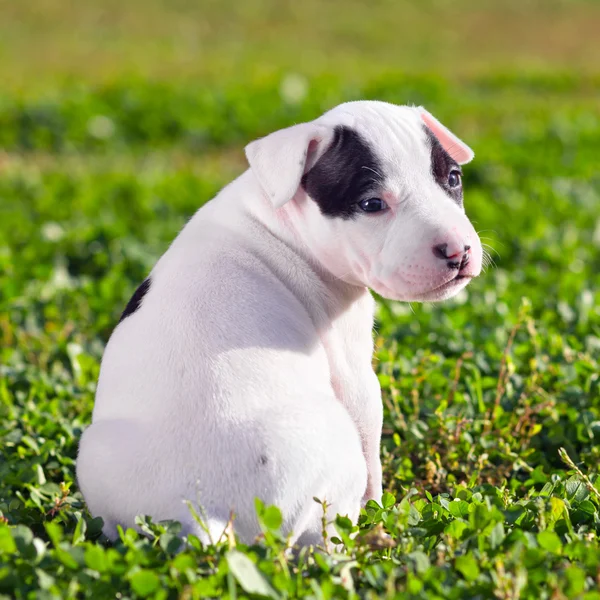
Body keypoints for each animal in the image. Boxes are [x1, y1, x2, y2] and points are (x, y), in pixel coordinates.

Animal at [77, 101, 482, 548]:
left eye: (453, 179)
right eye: (372, 205)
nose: (458, 250)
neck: (280, 220)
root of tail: (204, 515)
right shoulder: (354, 373)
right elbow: (371, 442)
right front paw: (381, 509)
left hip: (94, 451)